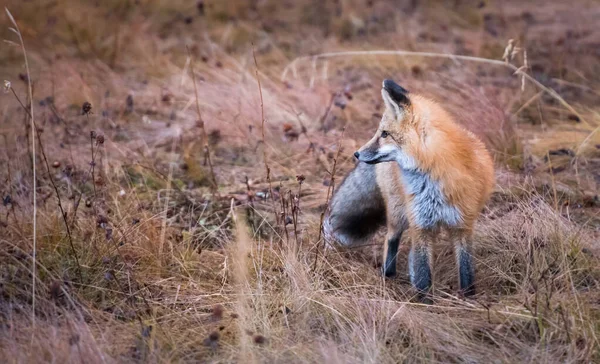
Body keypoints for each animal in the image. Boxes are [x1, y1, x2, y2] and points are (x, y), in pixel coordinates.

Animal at [326, 79, 494, 302]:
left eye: (384, 134)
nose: (357, 154)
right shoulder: (420, 224)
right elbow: (423, 273)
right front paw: (425, 303)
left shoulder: (463, 225)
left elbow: (465, 270)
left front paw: (468, 299)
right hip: (399, 214)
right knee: (390, 239)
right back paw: (387, 275)